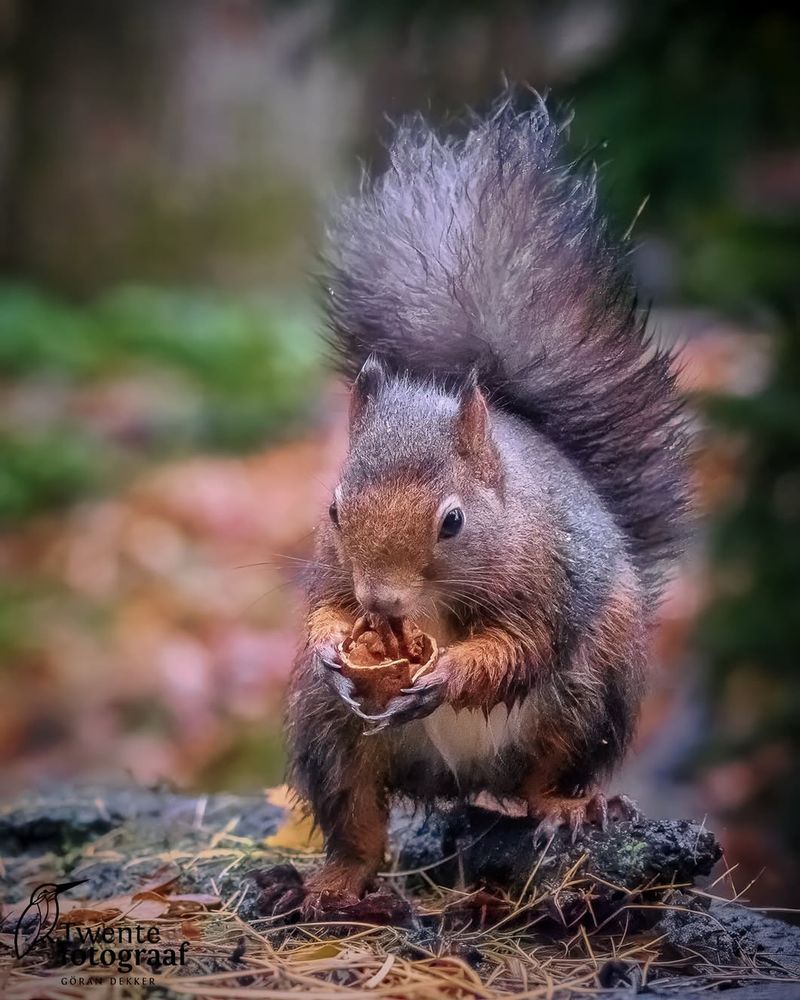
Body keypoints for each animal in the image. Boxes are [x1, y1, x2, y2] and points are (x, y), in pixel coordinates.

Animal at [271, 96, 691, 918]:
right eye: (333, 510)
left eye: (453, 521)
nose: (380, 600)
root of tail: (459, 780)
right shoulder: (333, 575)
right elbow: (325, 611)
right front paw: (334, 643)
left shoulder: (542, 583)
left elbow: (515, 649)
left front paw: (447, 674)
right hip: (331, 733)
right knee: (357, 821)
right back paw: (334, 883)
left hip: (590, 693)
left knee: (541, 779)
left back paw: (570, 808)